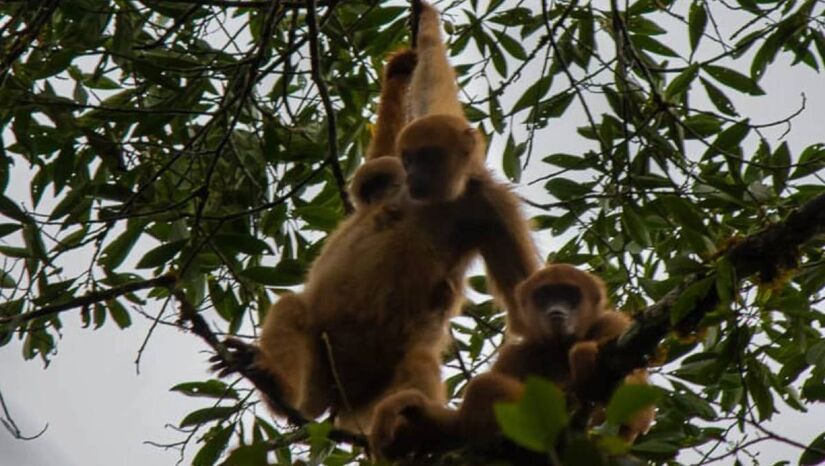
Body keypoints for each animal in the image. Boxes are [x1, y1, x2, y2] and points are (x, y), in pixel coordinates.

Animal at [370, 264, 652, 460]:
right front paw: (410, 405)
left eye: (569, 296)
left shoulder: (612, 324)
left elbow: (639, 413)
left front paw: (582, 355)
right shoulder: (518, 353)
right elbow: (456, 429)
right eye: (545, 297)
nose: (556, 311)